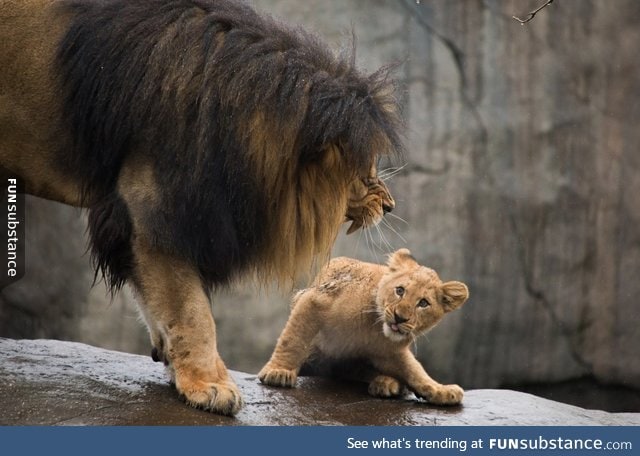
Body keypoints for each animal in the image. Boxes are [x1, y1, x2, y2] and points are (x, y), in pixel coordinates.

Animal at [0, 0, 400, 416]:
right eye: (366, 169)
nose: (389, 206)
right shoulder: (151, 215)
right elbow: (192, 309)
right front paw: (210, 384)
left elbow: (162, 302)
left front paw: (173, 360)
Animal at [258, 249, 468, 406]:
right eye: (400, 290)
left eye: (423, 303)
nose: (399, 317)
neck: (374, 329)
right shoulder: (314, 299)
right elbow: (293, 339)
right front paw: (279, 372)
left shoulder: (392, 350)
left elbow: (414, 369)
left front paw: (441, 390)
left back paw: (386, 383)